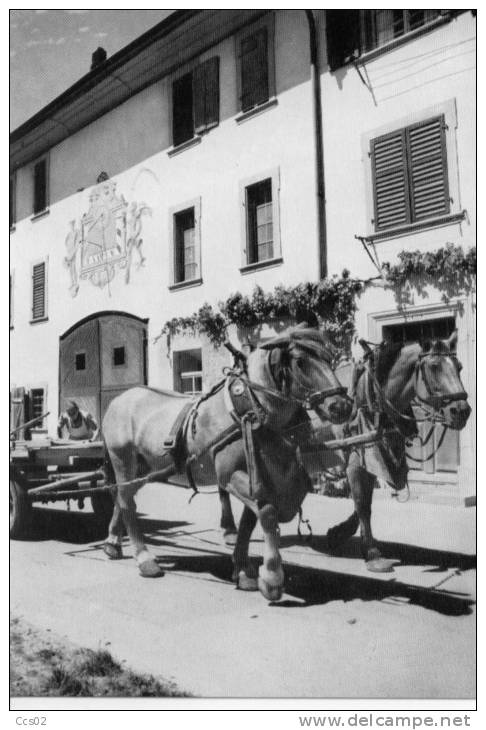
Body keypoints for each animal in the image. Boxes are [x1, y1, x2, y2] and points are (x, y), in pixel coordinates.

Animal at [102, 328, 354, 600]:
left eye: (329, 357)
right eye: (300, 361)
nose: (341, 406)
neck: (252, 409)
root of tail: (118, 400)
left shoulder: (259, 477)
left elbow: (248, 523)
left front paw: (243, 569)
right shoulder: (231, 475)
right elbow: (267, 514)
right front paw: (272, 578)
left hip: (145, 469)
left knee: (121, 498)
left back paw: (112, 543)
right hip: (123, 460)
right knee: (127, 503)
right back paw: (144, 557)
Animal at [326, 332, 470, 572]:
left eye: (459, 367)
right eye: (434, 366)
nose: (461, 411)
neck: (373, 396)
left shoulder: (375, 459)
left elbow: (363, 503)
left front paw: (339, 533)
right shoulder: (357, 460)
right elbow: (362, 504)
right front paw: (372, 553)